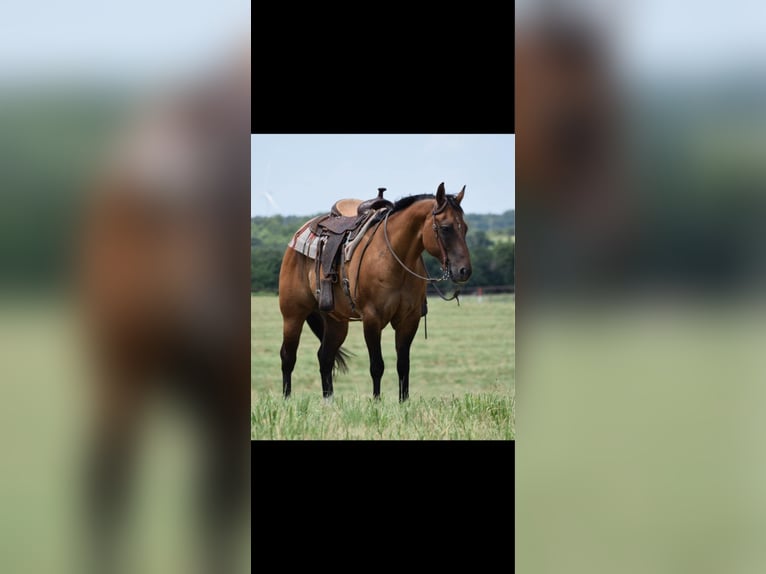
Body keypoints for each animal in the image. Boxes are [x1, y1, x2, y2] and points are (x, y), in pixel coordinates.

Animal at [278, 182, 472, 402]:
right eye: (446, 228)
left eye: (465, 228)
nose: (464, 271)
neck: (394, 258)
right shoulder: (372, 318)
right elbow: (377, 366)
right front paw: (377, 402)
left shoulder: (409, 320)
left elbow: (403, 365)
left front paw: (403, 402)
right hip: (293, 314)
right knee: (288, 356)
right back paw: (287, 400)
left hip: (336, 322)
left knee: (325, 357)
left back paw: (329, 402)